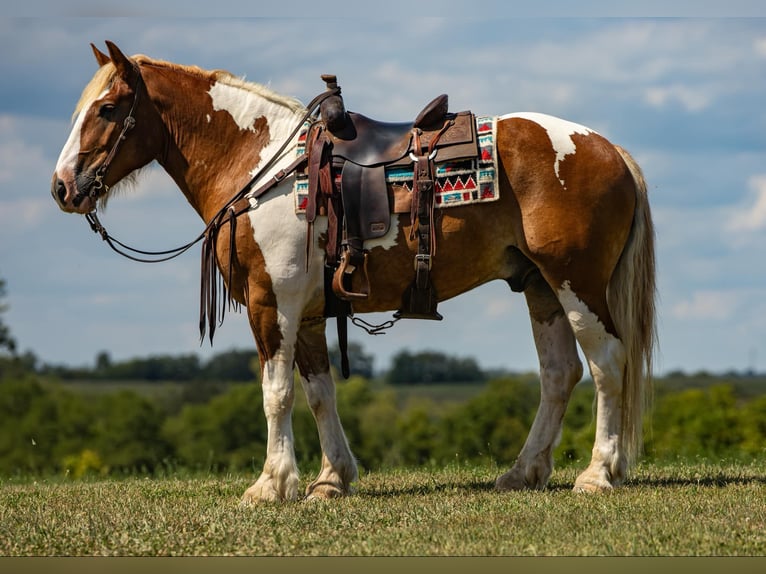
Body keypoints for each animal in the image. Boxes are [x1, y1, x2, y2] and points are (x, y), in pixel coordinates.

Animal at [51, 41, 656, 503]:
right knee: (559, 374)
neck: (261, 165)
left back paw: (598, 473)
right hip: (541, 288)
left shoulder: (273, 304)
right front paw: (330, 479)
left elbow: (276, 392)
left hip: (576, 284)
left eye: (108, 109)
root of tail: (609, 149)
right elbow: (319, 392)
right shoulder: (309, 313)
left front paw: (271, 484)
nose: (61, 187)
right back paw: (523, 471)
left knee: (606, 365)